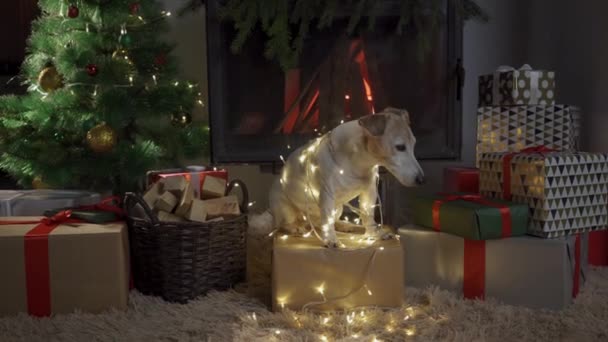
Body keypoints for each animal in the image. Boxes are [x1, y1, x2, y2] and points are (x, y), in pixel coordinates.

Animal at [256, 107, 422, 246]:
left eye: (414, 144)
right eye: (400, 147)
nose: (422, 179)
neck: (359, 160)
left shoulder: (369, 191)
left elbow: (368, 215)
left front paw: (374, 233)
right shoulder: (327, 193)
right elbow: (327, 220)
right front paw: (331, 239)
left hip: (339, 208)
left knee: (328, 222)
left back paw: (346, 225)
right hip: (286, 208)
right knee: (283, 225)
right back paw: (295, 228)